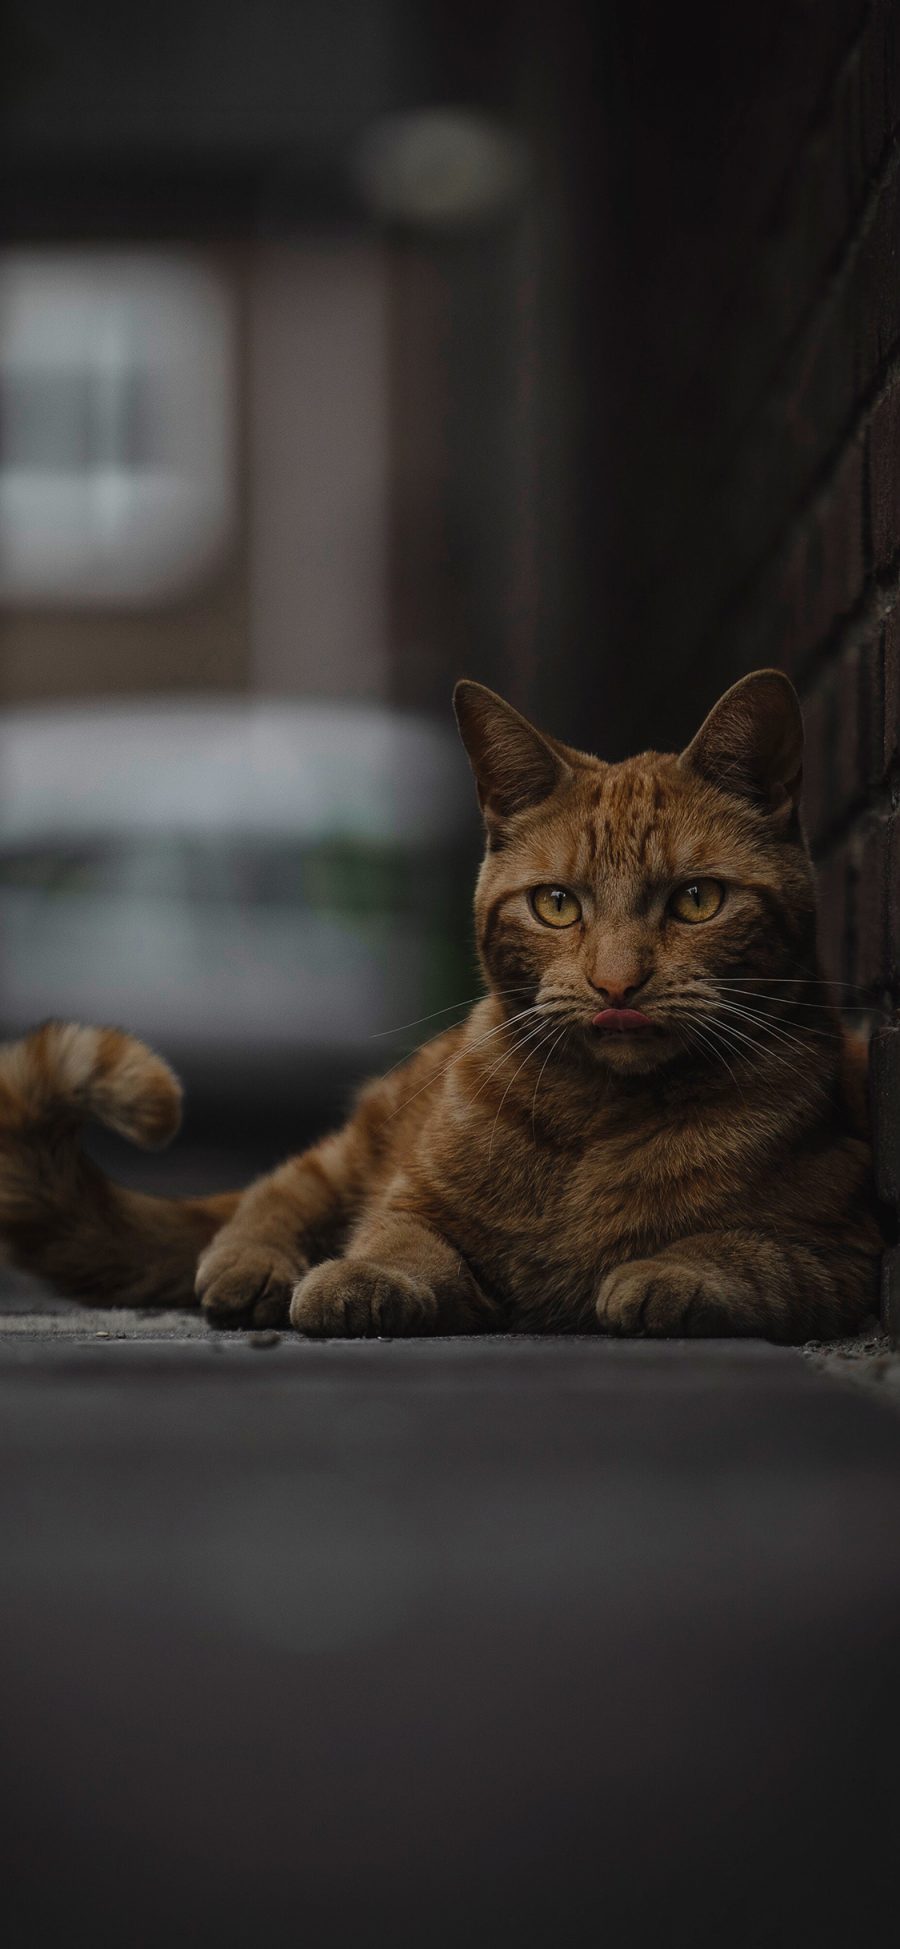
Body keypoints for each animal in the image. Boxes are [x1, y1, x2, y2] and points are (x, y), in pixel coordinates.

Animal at [0, 674, 884, 1340]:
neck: (599, 1119)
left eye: (697, 900)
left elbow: (748, 1252)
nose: (615, 982)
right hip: (356, 1144)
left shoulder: (841, 1249)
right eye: (557, 905)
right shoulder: (411, 1199)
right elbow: (400, 1240)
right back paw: (252, 1264)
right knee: (276, 1189)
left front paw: (669, 1273)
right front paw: (358, 1276)